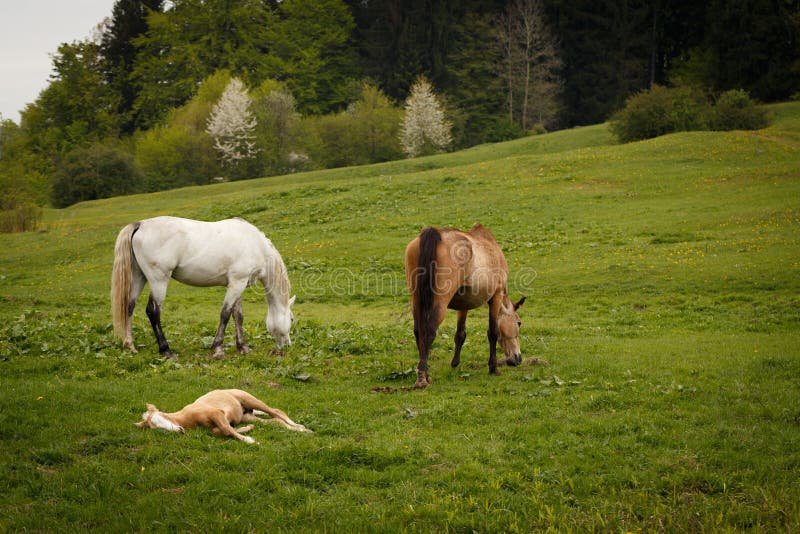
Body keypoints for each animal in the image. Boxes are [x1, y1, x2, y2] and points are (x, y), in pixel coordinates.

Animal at [111, 217, 296, 360]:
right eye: (292, 319)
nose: (287, 345)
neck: (254, 243)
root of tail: (140, 224)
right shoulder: (237, 284)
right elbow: (225, 314)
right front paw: (218, 349)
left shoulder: (238, 283)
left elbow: (238, 316)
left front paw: (243, 347)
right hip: (159, 280)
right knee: (153, 311)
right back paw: (166, 350)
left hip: (139, 277)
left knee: (129, 307)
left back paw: (130, 345)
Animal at [134, 390, 310, 444]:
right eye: (157, 429)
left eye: (164, 415)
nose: (179, 430)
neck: (187, 417)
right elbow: (219, 430)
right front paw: (248, 431)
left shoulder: (216, 413)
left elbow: (225, 429)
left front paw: (250, 441)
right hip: (247, 415)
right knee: (275, 420)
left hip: (249, 399)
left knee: (276, 411)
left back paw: (302, 429)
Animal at [406, 225, 524, 390]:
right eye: (518, 323)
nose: (518, 358)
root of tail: (433, 232)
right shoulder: (496, 296)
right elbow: (493, 332)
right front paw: (493, 368)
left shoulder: (464, 304)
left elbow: (460, 334)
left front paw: (455, 363)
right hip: (440, 302)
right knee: (429, 332)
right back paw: (422, 377)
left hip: (416, 300)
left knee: (419, 332)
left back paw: (426, 374)